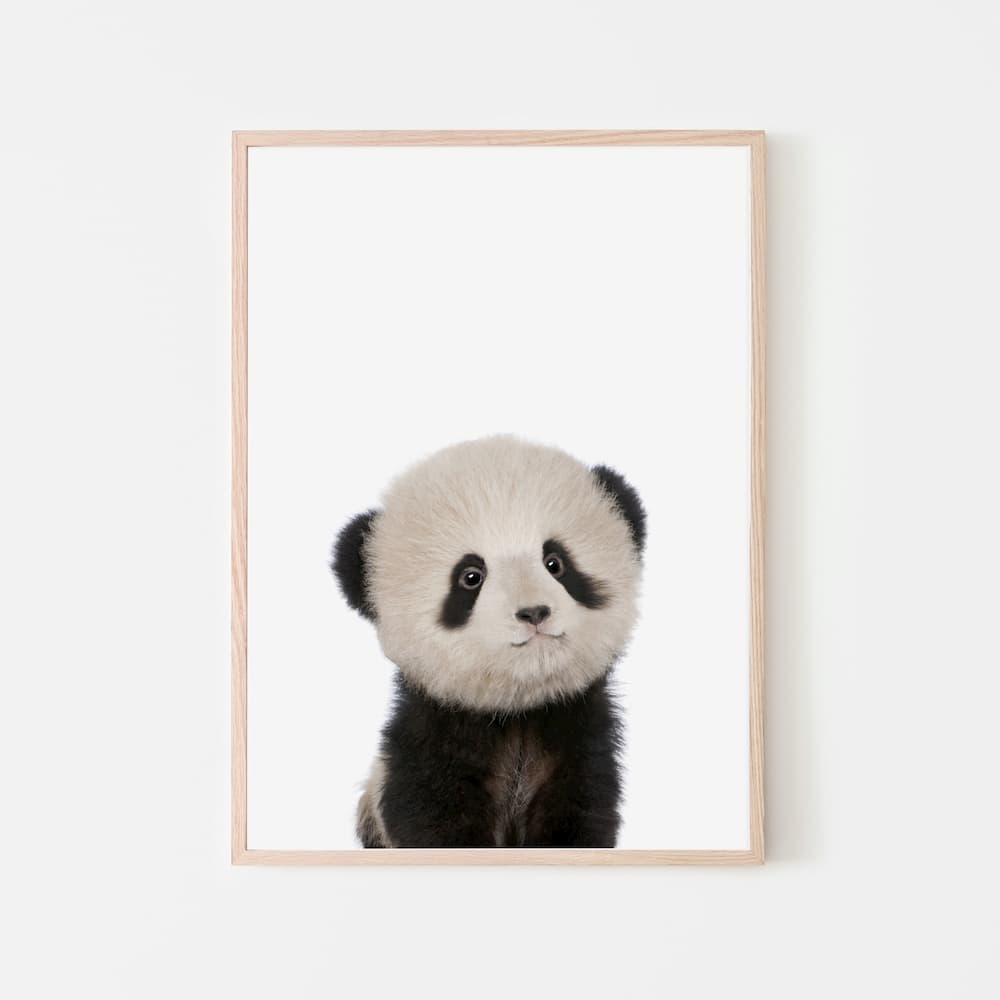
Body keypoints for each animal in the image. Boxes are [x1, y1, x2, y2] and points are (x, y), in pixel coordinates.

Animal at [331, 435, 646, 848]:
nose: (533, 612)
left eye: (555, 563)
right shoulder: (428, 741)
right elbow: (432, 817)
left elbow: (580, 809)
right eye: (470, 577)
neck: (516, 712)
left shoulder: (579, 739)